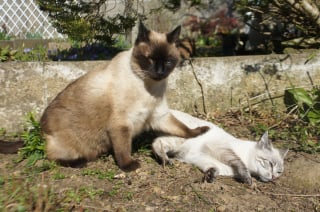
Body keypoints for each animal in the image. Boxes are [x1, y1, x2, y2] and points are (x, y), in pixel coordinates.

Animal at [38, 22, 210, 171]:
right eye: (150, 59)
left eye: (168, 61)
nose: (160, 72)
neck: (149, 87)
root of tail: (42, 127)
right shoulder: (122, 124)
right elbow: (123, 149)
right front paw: (128, 166)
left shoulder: (159, 115)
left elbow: (184, 129)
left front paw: (200, 131)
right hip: (69, 146)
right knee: (52, 158)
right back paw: (79, 162)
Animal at [151, 110, 288, 185]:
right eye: (270, 164)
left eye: (279, 172)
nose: (273, 177)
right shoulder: (223, 150)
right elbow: (240, 164)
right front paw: (248, 180)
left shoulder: (203, 159)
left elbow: (213, 168)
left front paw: (210, 176)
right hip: (180, 139)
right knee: (156, 143)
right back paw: (166, 160)